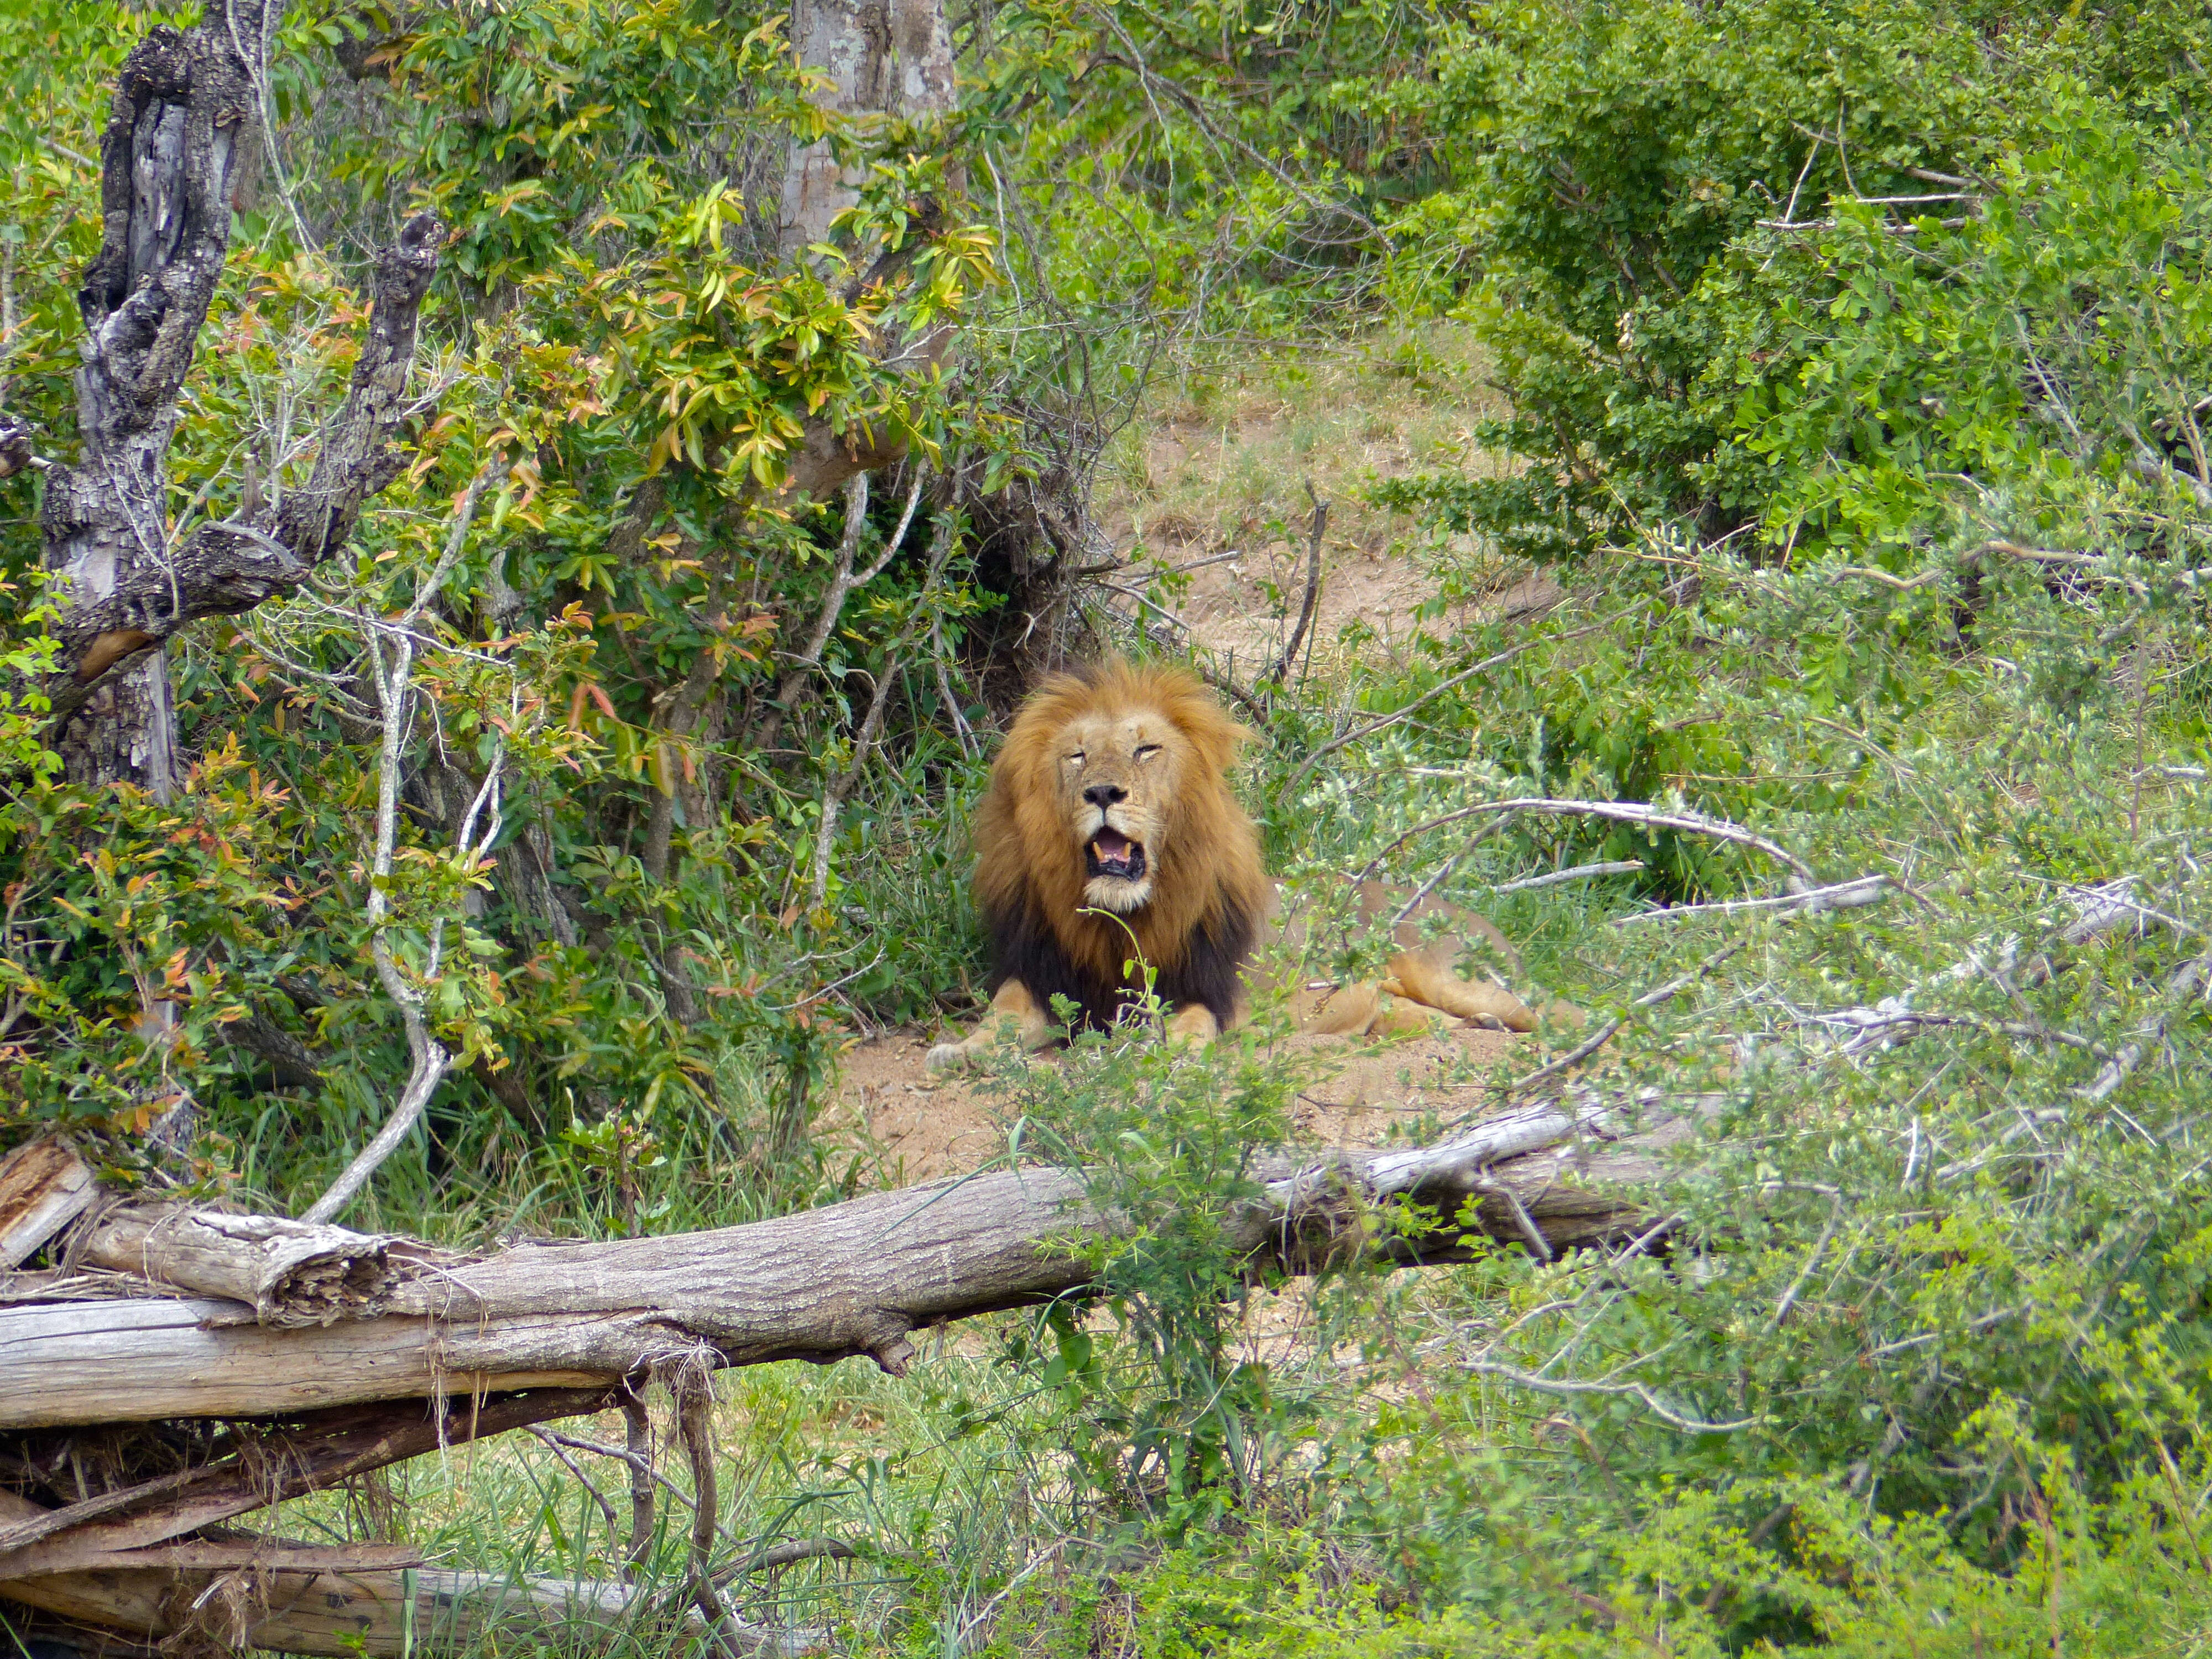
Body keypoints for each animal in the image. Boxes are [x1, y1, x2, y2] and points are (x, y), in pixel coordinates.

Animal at [925, 664, 1584, 1079]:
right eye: (1077, 755)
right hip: (1402, 1011)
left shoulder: (1206, 988)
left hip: (1458, 975)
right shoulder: (1041, 976)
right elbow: (1001, 1018)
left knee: (1556, 1008)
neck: (1118, 920)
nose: (1104, 792)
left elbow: (1187, 1025)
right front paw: (961, 1050)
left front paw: (1162, 1052)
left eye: (1145, 750)